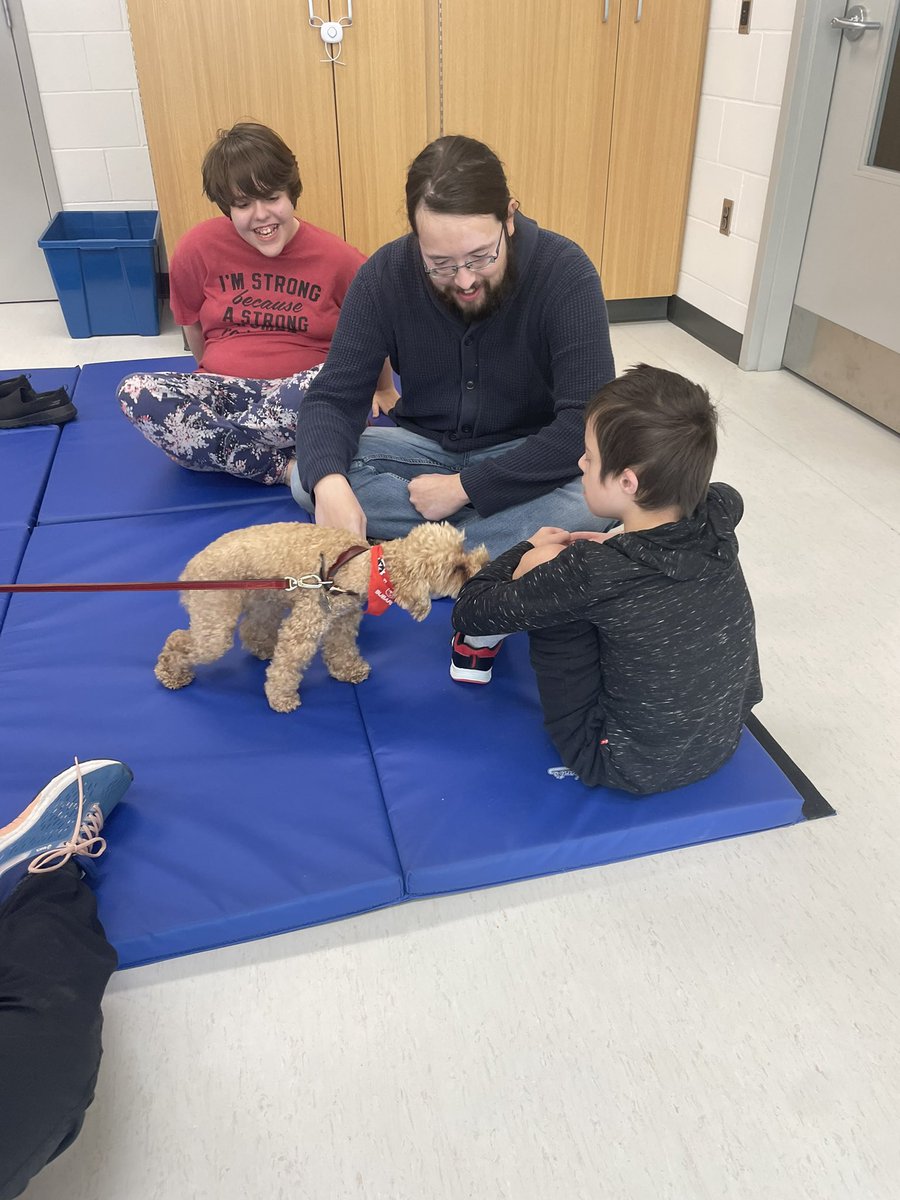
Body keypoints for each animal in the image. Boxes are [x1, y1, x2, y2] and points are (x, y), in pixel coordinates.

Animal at [158, 518, 489, 705]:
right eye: (457, 569)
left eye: (464, 548)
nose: (484, 563)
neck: (359, 569)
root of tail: (189, 571)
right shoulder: (303, 629)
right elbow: (286, 666)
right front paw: (281, 697)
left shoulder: (342, 623)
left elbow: (341, 650)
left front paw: (349, 671)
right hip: (215, 619)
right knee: (180, 640)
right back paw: (171, 673)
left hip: (265, 598)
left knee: (252, 629)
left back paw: (262, 647)